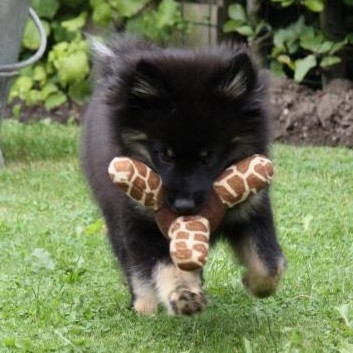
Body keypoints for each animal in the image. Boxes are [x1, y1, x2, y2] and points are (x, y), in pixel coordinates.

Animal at [81, 35, 284, 314]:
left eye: (208, 157)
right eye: (165, 155)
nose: (183, 205)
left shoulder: (251, 209)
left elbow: (267, 263)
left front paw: (255, 284)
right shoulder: (141, 221)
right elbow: (164, 265)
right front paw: (183, 294)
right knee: (132, 264)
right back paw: (144, 305)